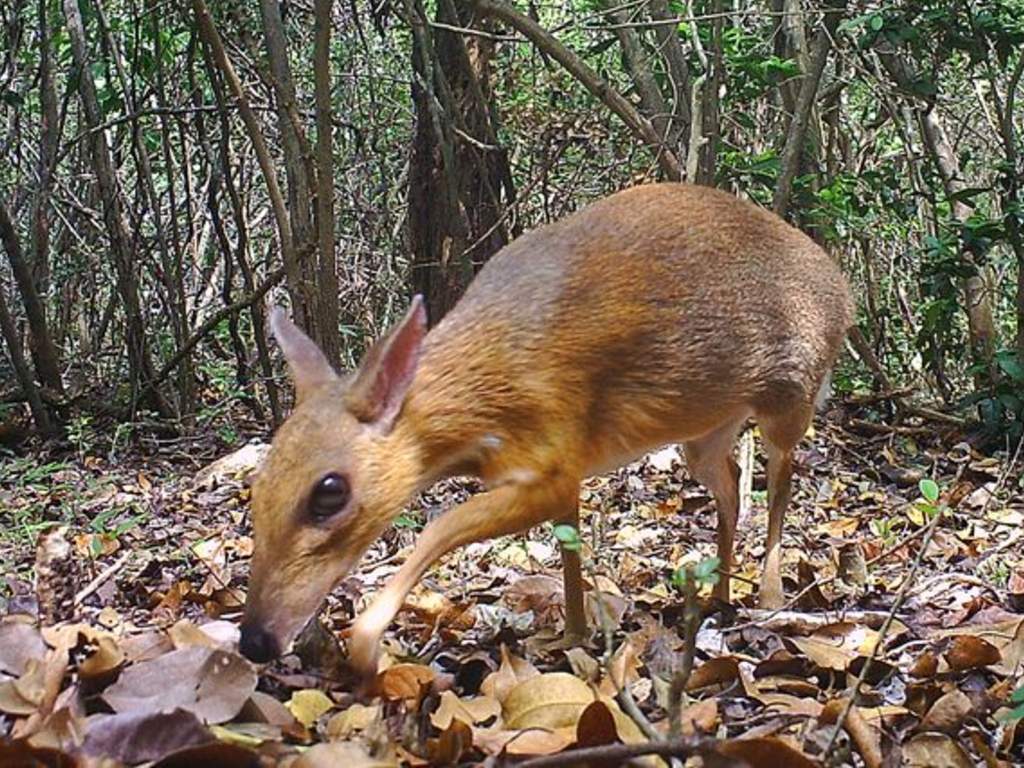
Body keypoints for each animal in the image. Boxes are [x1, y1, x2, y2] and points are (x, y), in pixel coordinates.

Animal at [237, 182, 854, 676]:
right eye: (257, 486)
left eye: (329, 492)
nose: (254, 640)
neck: (487, 389)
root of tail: (842, 286)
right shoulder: (564, 469)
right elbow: (567, 545)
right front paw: (573, 634)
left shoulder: (553, 454)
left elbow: (440, 527)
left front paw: (366, 646)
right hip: (705, 429)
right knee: (728, 483)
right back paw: (718, 594)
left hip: (792, 394)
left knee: (781, 482)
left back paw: (768, 594)